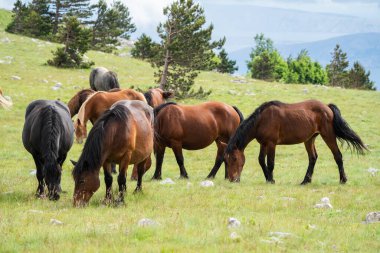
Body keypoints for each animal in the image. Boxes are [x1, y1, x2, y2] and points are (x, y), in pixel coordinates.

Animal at [224, 99, 366, 184]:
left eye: (234, 159)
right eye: (226, 160)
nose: (232, 179)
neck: (262, 119)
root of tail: (327, 107)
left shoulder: (271, 144)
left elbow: (270, 163)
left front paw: (271, 179)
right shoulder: (263, 144)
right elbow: (261, 161)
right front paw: (268, 179)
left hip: (328, 136)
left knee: (338, 156)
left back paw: (343, 180)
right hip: (309, 139)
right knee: (313, 158)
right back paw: (306, 181)